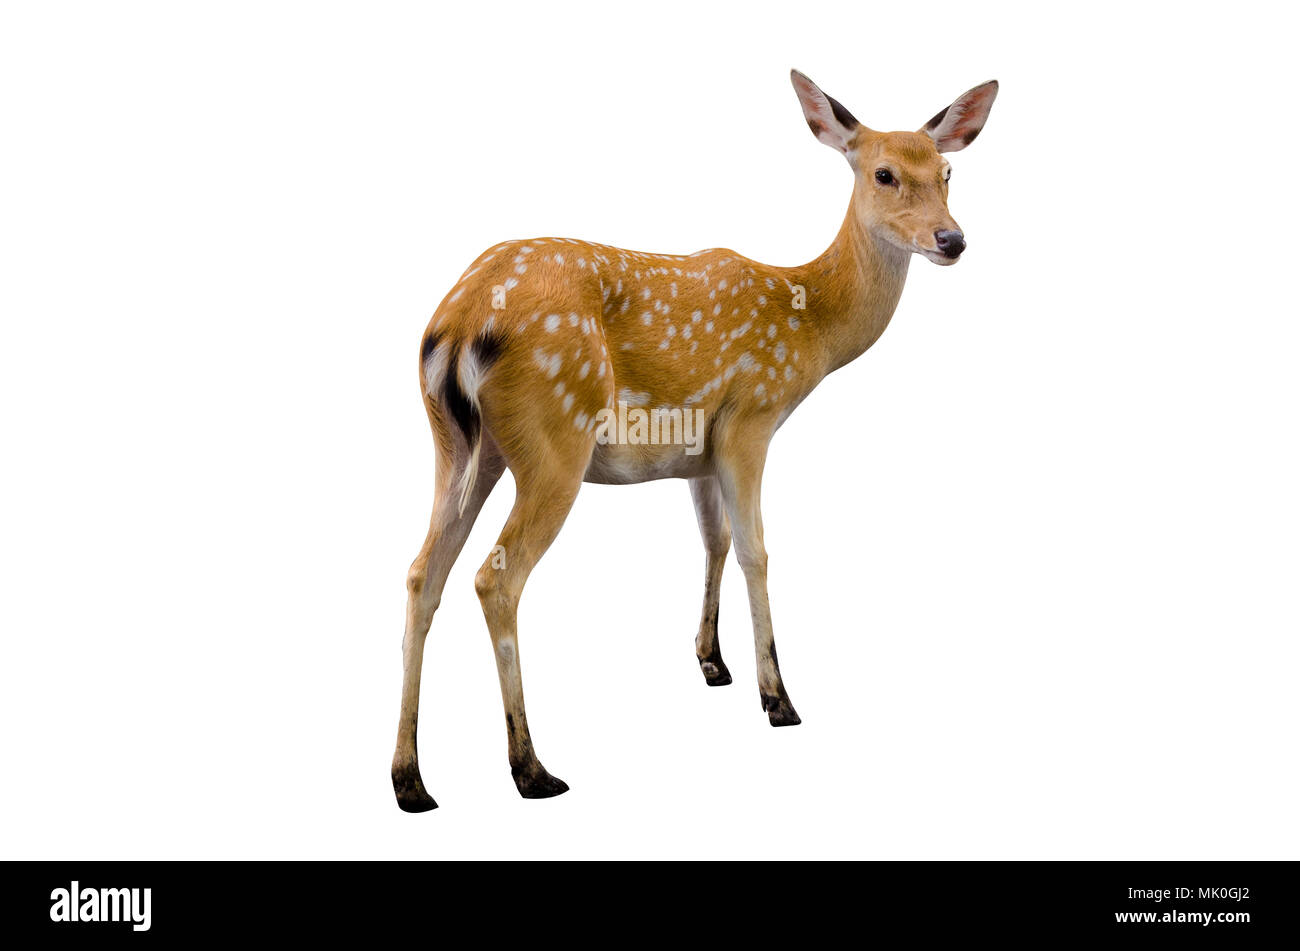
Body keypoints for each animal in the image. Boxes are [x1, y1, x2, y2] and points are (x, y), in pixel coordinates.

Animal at [390, 72, 998, 810]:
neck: (809, 328)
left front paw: (712, 661)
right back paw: (531, 768)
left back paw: (410, 780)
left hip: (458, 446)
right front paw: (777, 697)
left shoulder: (698, 451)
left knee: (423, 573)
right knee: (494, 578)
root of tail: (456, 321)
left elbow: (715, 541)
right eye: (884, 173)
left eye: (947, 172)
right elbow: (756, 551)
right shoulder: (750, 416)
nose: (952, 238)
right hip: (553, 439)